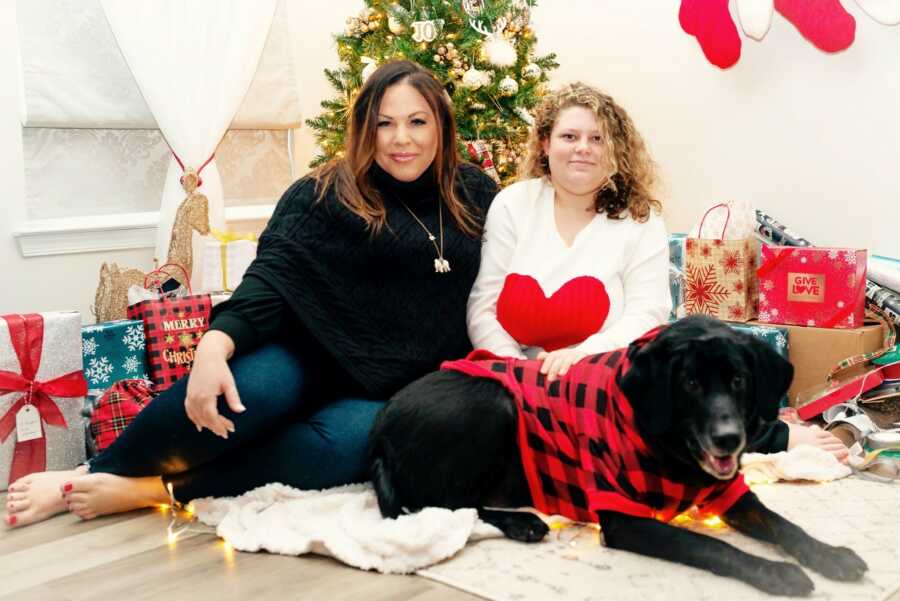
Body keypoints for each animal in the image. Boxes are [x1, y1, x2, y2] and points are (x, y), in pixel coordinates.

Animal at [370, 316, 868, 592]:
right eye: (690, 384)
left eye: (739, 379)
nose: (730, 439)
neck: (670, 448)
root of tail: (380, 428)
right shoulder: (625, 519)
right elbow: (710, 545)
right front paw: (776, 574)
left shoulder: (731, 495)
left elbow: (786, 526)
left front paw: (832, 556)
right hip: (494, 405)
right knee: (445, 505)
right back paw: (523, 523)